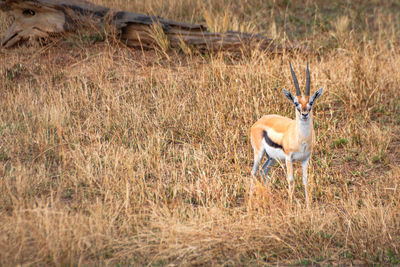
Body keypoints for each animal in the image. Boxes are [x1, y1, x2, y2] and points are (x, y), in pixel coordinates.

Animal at [250, 62, 324, 209]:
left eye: (311, 102)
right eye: (296, 103)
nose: (304, 114)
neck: (300, 138)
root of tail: (258, 122)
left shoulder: (305, 159)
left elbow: (305, 180)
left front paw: (308, 207)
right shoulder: (289, 158)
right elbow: (290, 180)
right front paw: (290, 206)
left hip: (271, 158)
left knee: (263, 171)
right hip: (259, 153)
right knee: (254, 172)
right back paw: (248, 200)